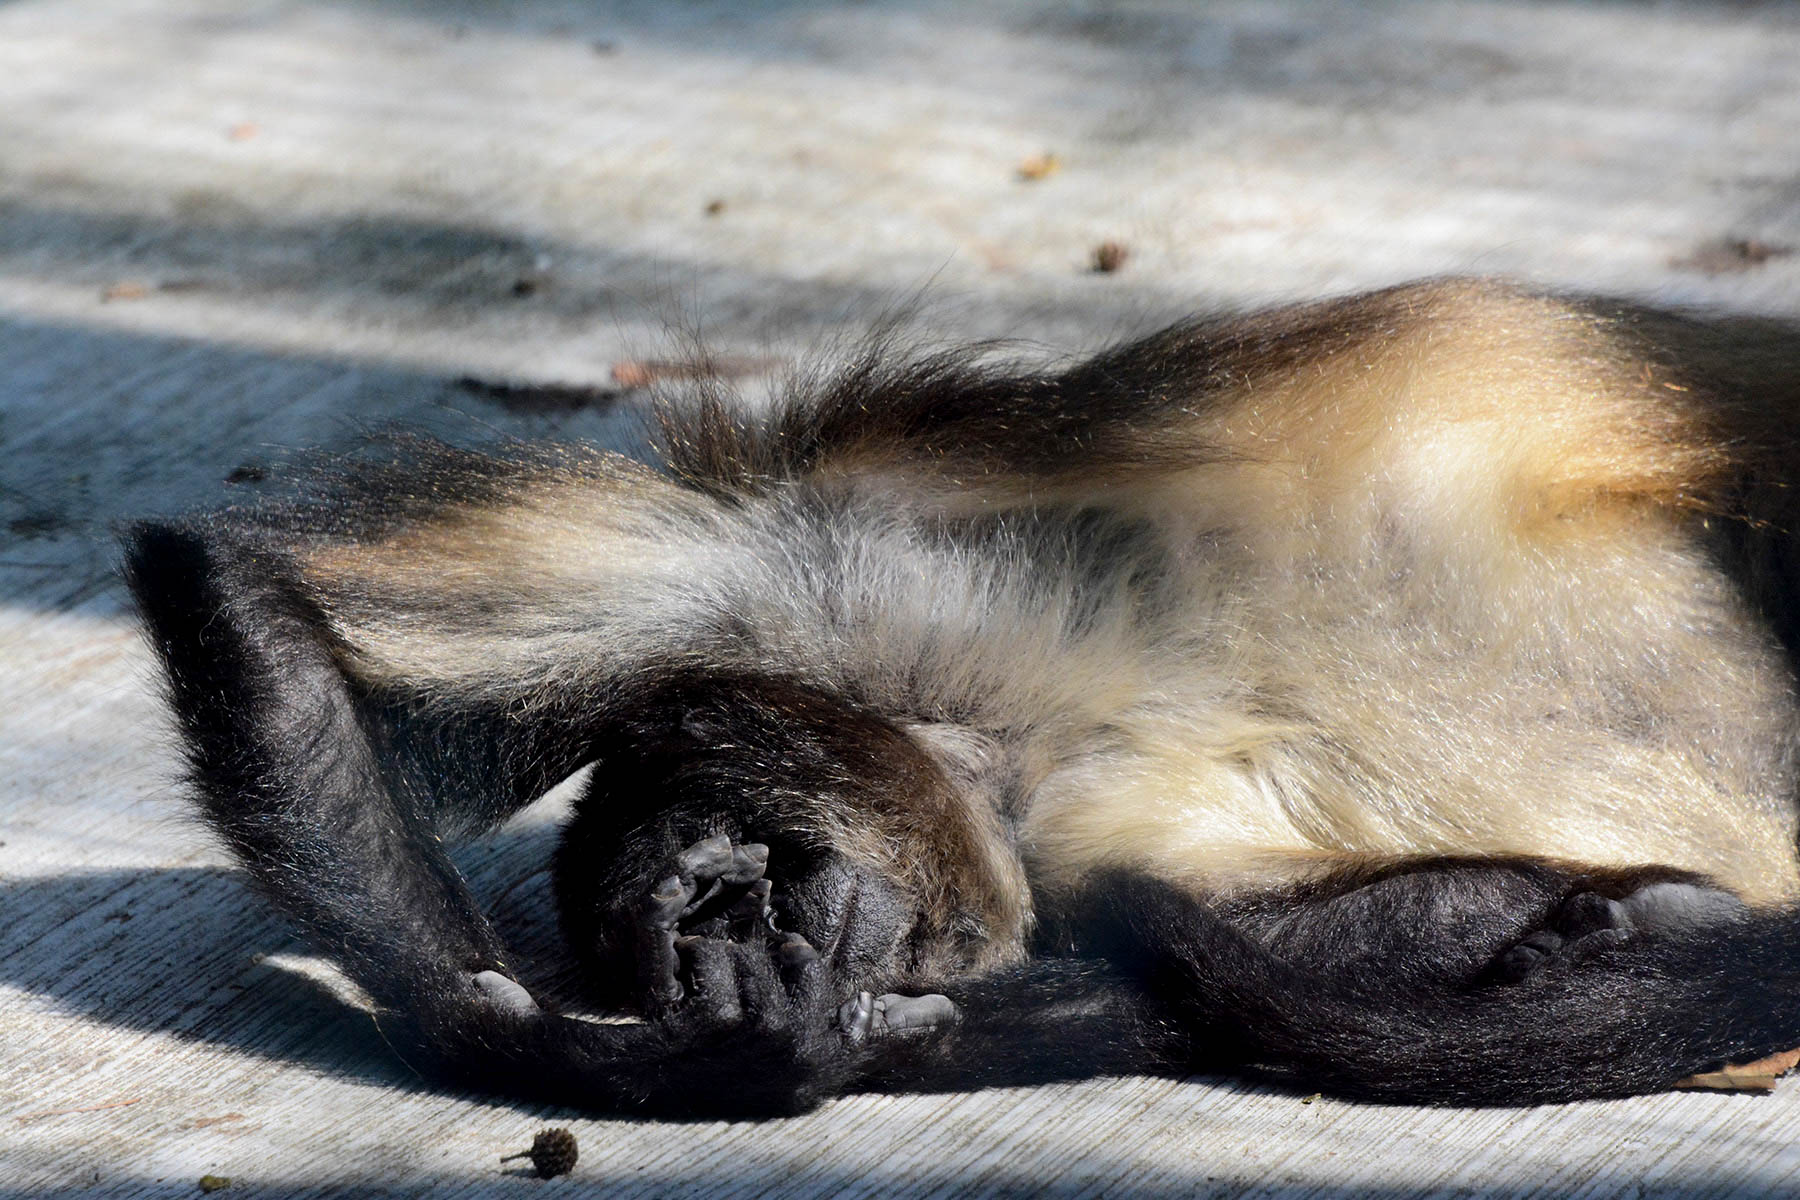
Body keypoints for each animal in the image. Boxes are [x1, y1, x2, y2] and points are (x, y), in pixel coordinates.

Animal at [126, 278, 1800, 1115]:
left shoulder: (805, 561)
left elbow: (241, 574)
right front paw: (705, 1055)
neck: (1015, 737)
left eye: (729, 885)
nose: (726, 963)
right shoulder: (1094, 855)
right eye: (680, 941)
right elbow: (1254, 979)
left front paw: (602, 1052)